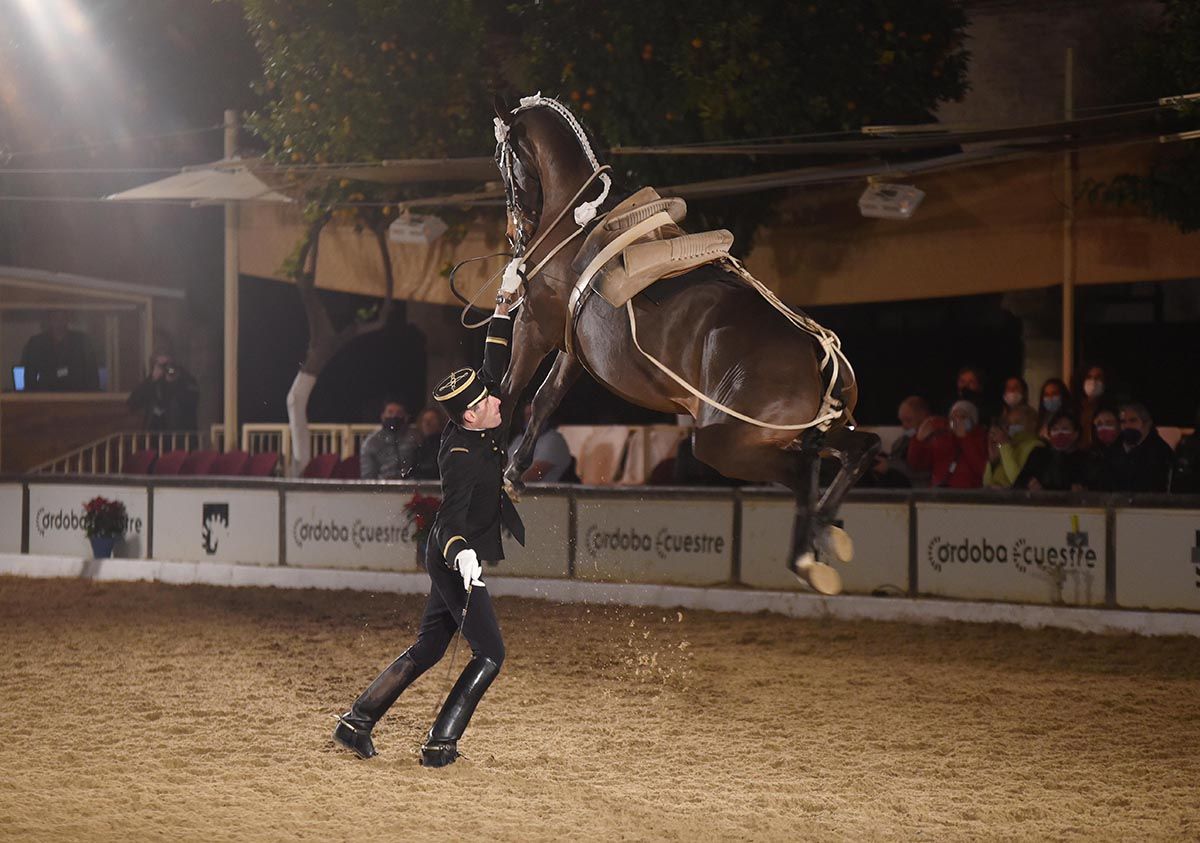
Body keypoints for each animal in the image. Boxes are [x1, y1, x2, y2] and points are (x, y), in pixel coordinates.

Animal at [487, 96, 883, 598]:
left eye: (502, 159)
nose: (514, 233)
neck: (576, 224)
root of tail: (814, 350)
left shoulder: (533, 328)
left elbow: (510, 394)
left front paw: (500, 476)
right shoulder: (573, 352)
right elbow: (543, 401)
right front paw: (514, 474)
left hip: (722, 441)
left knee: (804, 472)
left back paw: (807, 555)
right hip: (793, 433)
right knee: (858, 449)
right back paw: (827, 533)